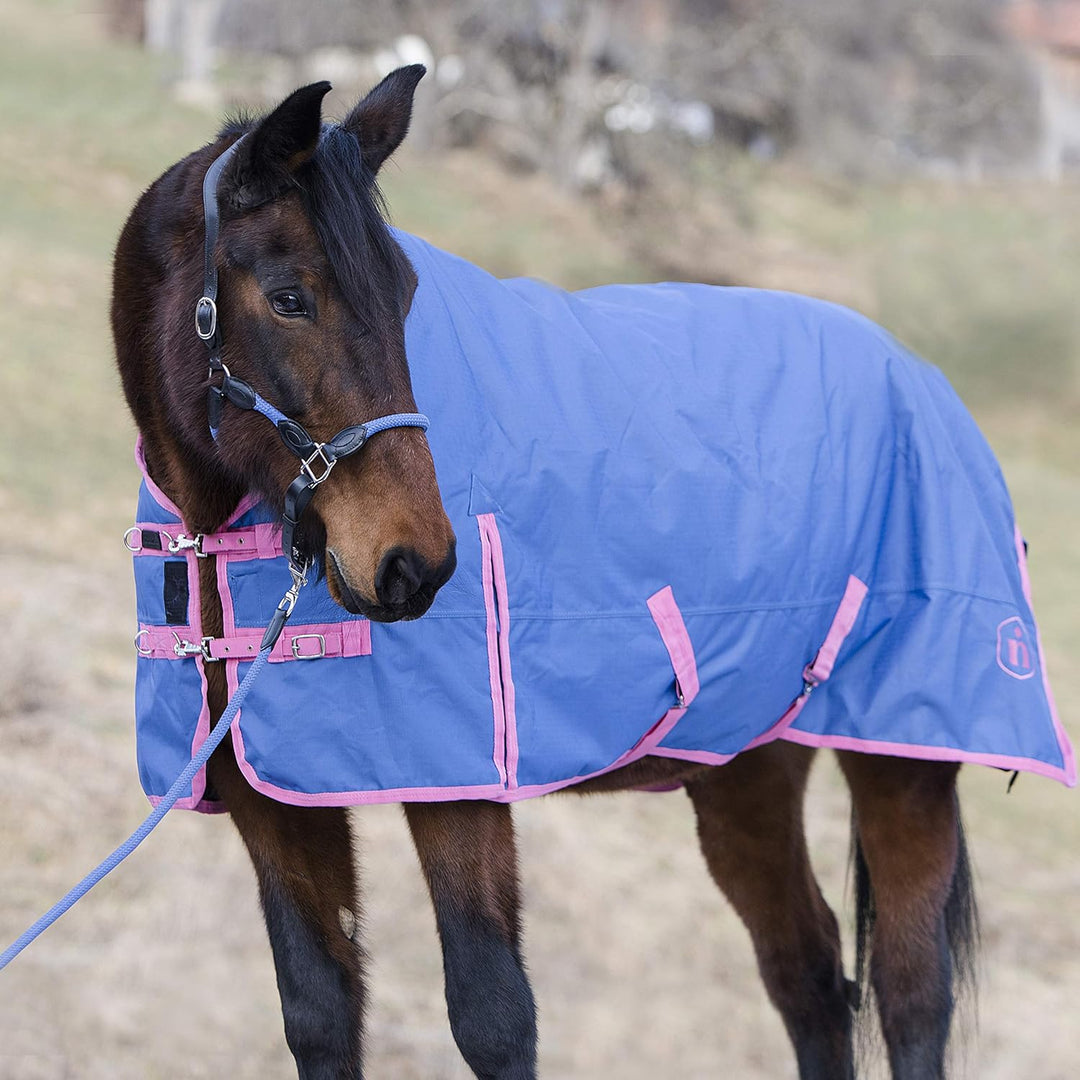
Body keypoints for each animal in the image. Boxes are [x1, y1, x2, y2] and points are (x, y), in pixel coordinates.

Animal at [111, 67, 1069, 1080]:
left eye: (406, 296)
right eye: (289, 298)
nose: (416, 565)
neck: (223, 549)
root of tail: (922, 376)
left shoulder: (462, 792)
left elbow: (494, 1018)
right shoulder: (275, 804)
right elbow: (321, 1014)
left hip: (903, 766)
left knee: (911, 994)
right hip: (747, 769)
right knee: (808, 974)